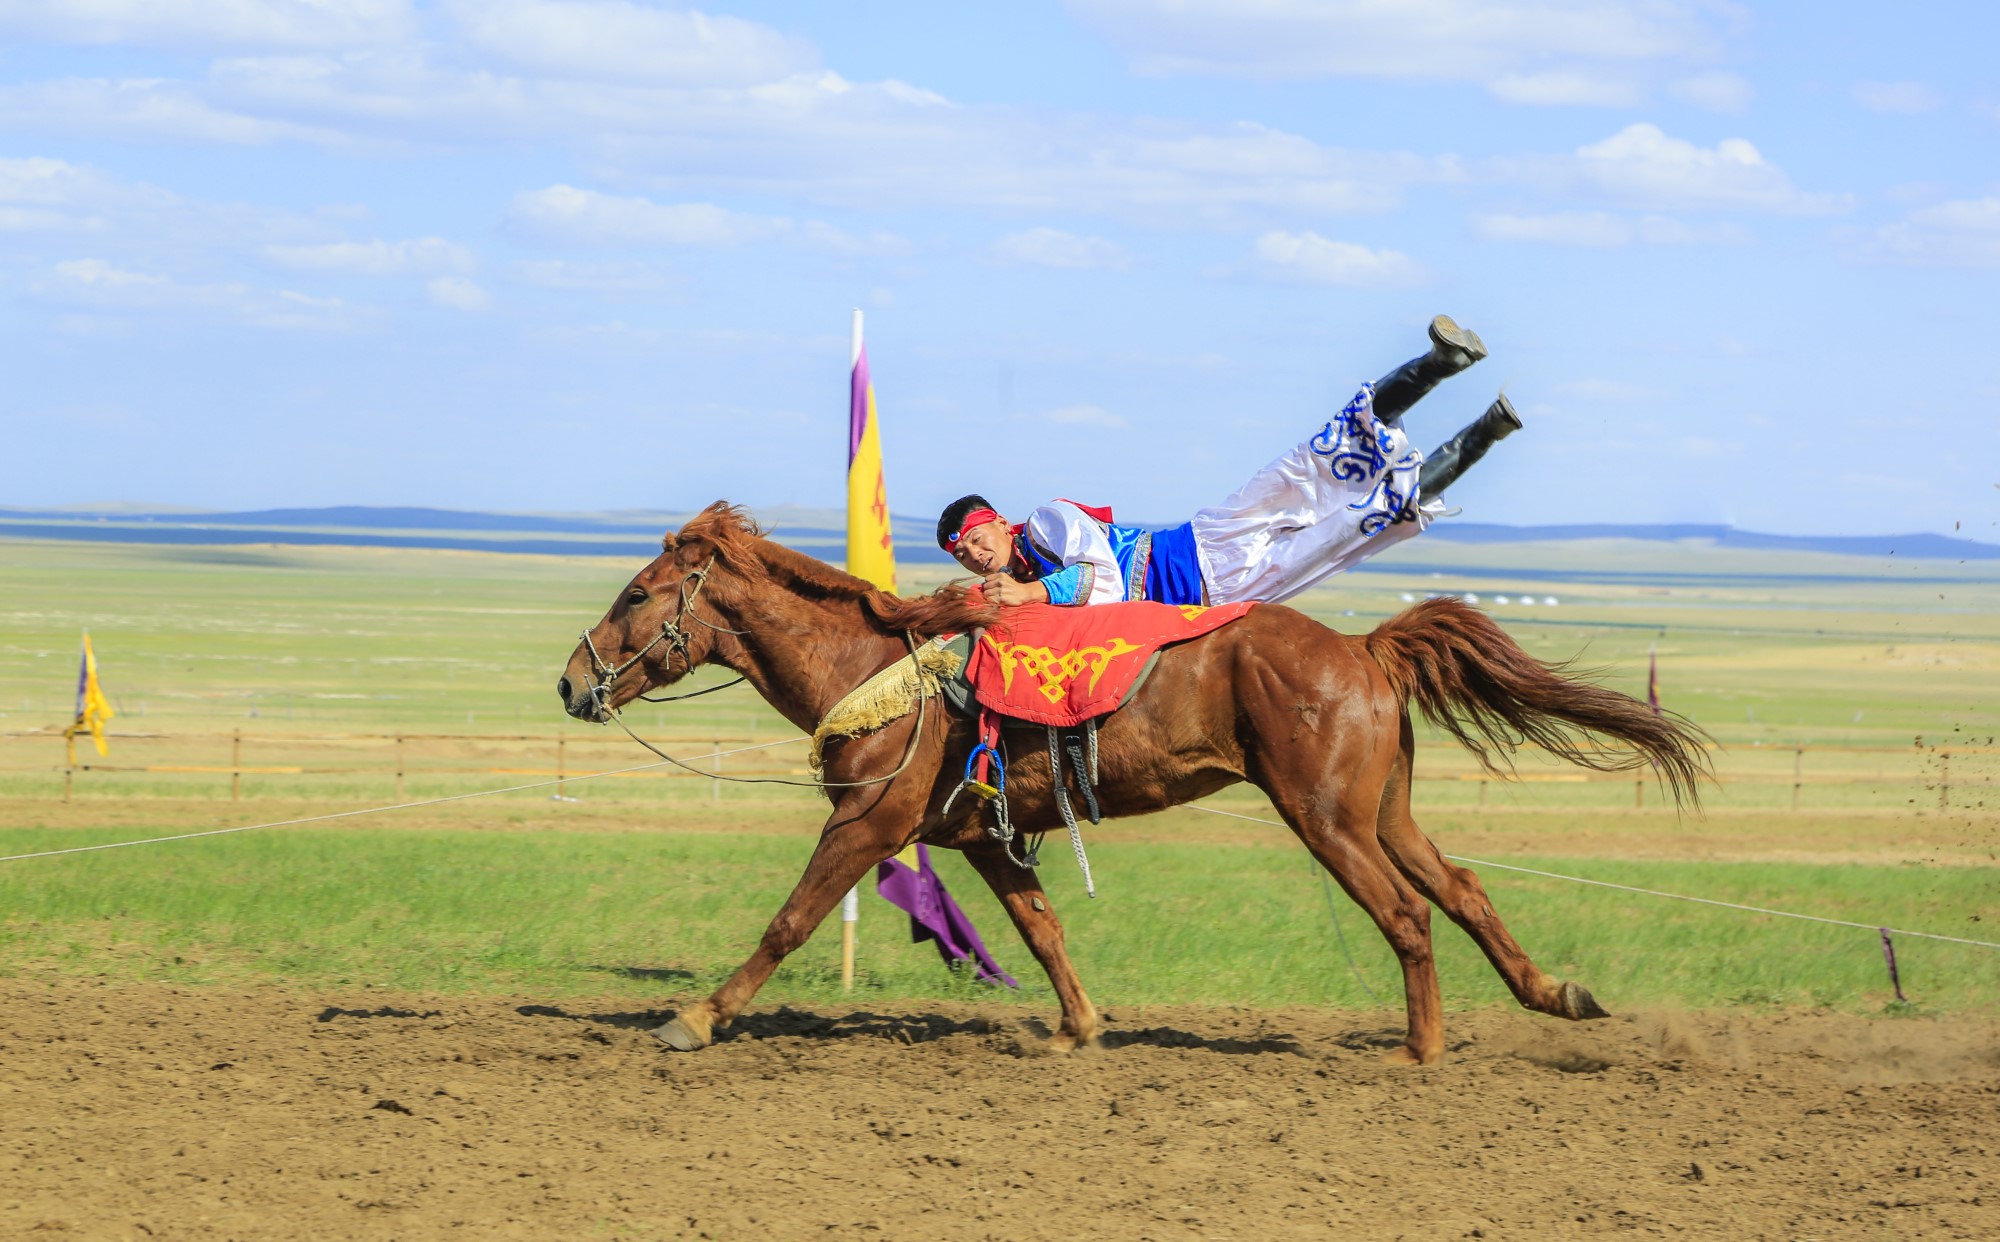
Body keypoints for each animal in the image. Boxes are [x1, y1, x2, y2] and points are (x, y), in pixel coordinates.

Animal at [560, 498, 1704, 1064]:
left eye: (636, 592)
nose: (571, 681)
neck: (878, 667)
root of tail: (1362, 649)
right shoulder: (980, 838)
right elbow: (1040, 931)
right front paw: (1079, 1028)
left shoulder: (869, 824)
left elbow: (789, 921)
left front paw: (693, 1019)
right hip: (1382, 811)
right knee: (1459, 891)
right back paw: (1556, 995)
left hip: (1326, 818)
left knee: (1406, 915)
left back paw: (1417, 1052)